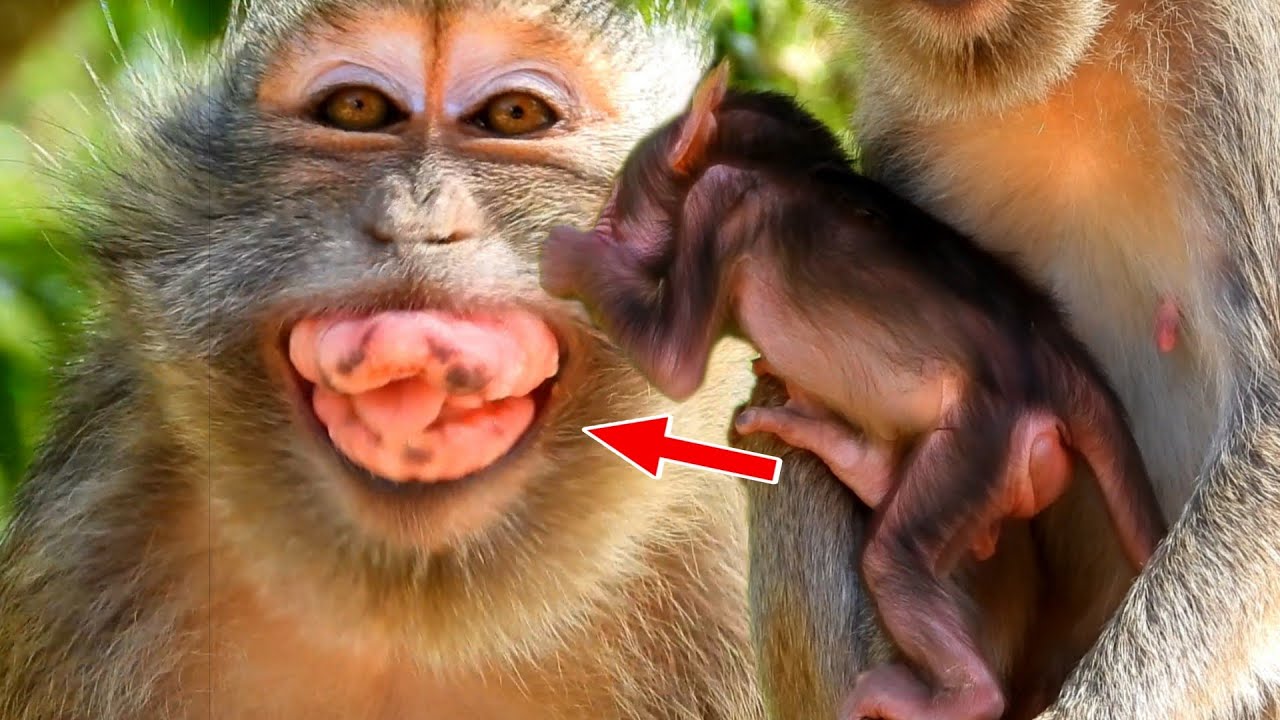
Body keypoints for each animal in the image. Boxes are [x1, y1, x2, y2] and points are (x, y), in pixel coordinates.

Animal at [540, 62, 1167, 720]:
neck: (785, 165)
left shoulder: (718, 203)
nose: (604, 220)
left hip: (982, 435)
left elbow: (673, 362)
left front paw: (573, 257)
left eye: (617, 196)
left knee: (895, 556)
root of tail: (1050, 354)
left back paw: (960, 694)